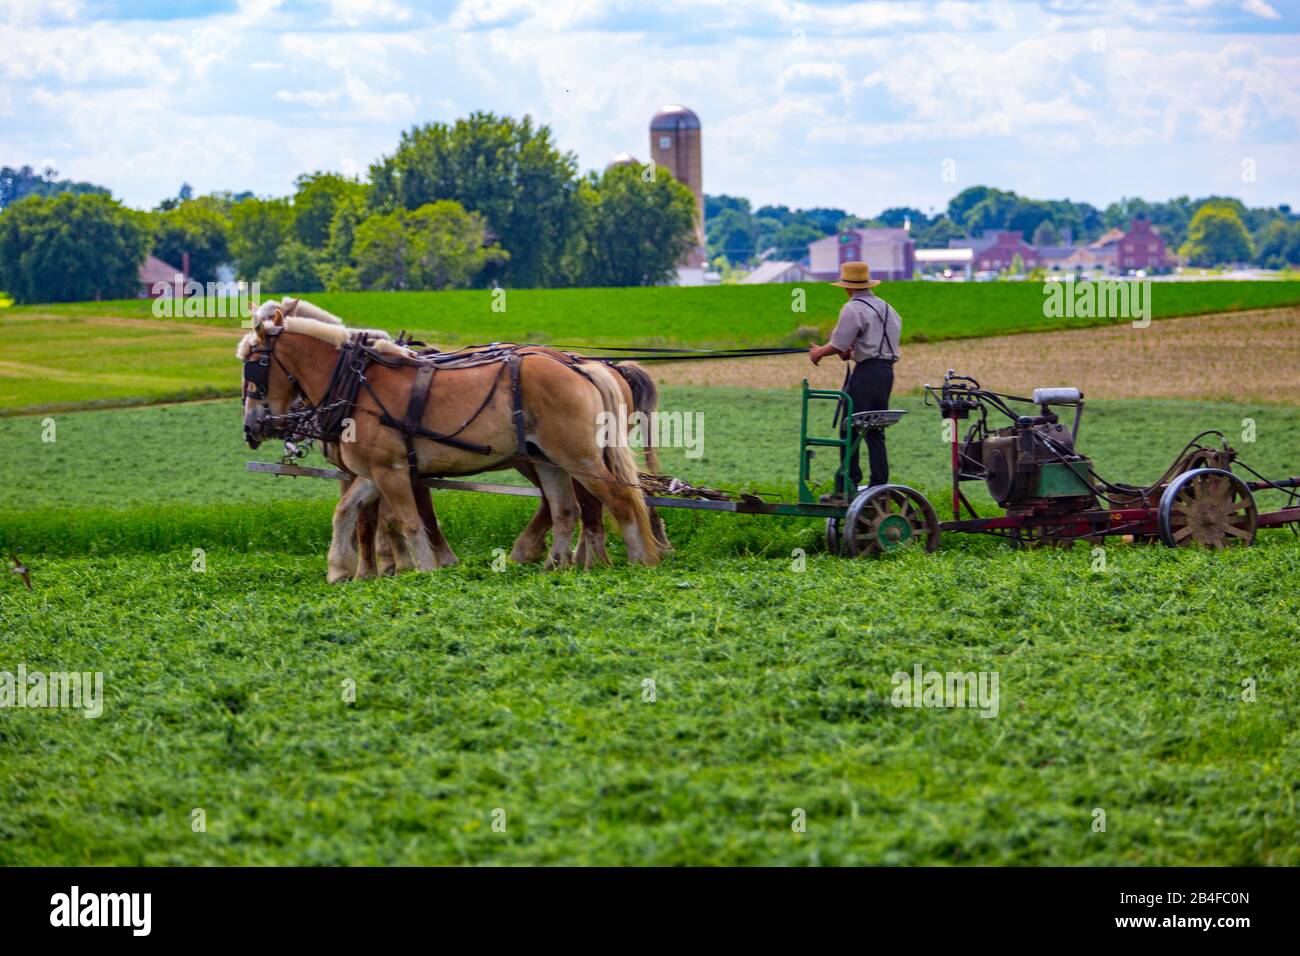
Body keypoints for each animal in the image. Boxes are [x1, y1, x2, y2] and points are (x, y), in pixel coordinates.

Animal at [239, 302, 661, 581]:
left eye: (254, 364)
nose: (251, 426)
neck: (356, 384)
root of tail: (585, 366)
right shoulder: (375, 471)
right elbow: (349, 513)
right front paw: (343, 570)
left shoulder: (392, 470)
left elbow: (407, 520)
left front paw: (422, 569)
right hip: (547, 459)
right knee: (566, 509)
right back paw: (555, 567)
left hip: (578, 457)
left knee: (619, 500)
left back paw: (636, 561)